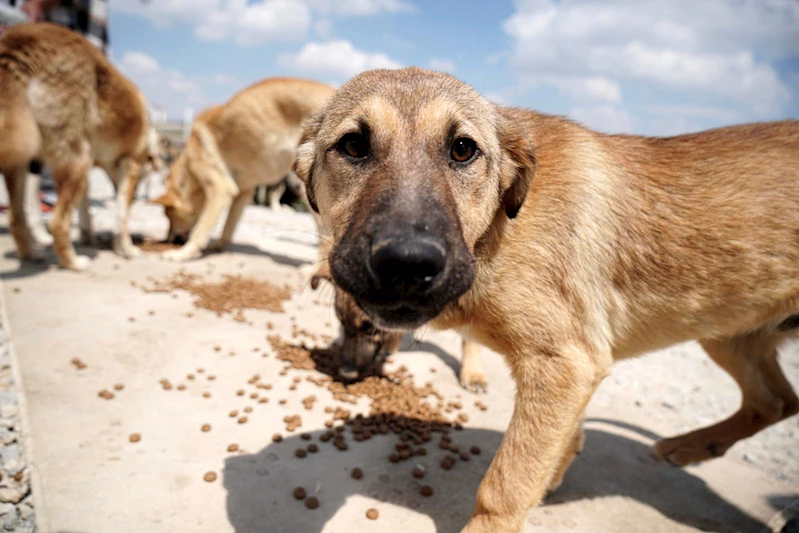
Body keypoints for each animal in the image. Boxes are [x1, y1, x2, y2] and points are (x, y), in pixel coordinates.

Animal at [0, 23, 161, 270]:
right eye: (144, 178)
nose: (137, 197)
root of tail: (21, 39)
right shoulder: (129, 165)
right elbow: (122, 214)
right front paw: (126, 248)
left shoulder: (90, 171)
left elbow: (85, 209)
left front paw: (89, 237)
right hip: (76, 160)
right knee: (57, 222)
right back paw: (73, 262)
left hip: (23, 161)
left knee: (16, 218)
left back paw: (30, 255)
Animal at [156, 79, 334, 262]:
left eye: (170, 217)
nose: (169, 240)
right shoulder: (243, 192)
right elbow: (228, 226)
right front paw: (217, 246)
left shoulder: (220, 189)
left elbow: (200, 230)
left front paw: (183, 253)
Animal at [296, 67, 799, 532]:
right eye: (353, 146)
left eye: (463, 149)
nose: (406, 262)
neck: (499, 228)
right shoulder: (577, 367)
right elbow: (560, 441)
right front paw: (554, 472)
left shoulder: (564, 363)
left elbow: (504, 485)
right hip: (730, 334)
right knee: (776, 402)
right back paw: (689, 446)